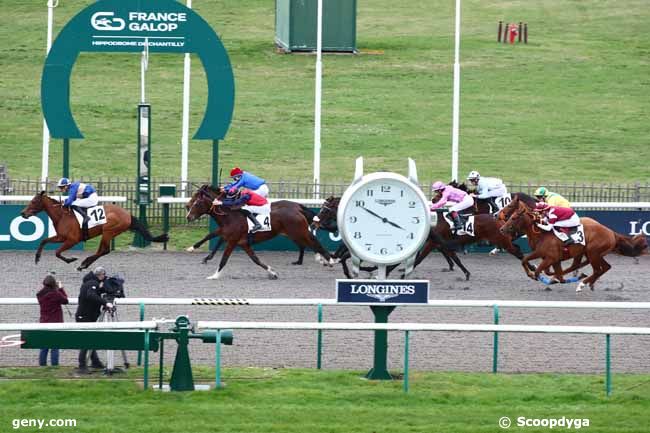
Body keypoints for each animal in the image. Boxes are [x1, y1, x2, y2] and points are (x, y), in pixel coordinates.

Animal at [20, 191, 168, 268]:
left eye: (34, 201)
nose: (23, 213)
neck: (62, 215)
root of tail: (127, 214)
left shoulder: (72, 240)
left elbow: (57, 252)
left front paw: (71, 259)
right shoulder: (61, 237)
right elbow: (44, 241)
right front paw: (37, 258)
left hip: (109, 231)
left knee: (104, 250)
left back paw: (84, 263)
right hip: (108, 233)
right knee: (102, 251)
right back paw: (85, 263)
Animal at [185, 183, 332, 278]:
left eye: (197, 202)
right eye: (193, 198)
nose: (188, 215)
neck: (230, 215)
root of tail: (297, 207)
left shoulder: (232, 241)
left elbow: (224, 259)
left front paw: (214, 275)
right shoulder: (241, 241)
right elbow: (255, 259)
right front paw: (272, 272)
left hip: (299, 232)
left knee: (313, 242)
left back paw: (328, 260)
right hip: (295, 233)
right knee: (309, 243)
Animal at [498, 199, 644, 290]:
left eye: (514, 217)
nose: (502, 229)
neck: (541, 234)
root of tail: (611, 232)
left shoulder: (550, 257)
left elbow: (539, 271)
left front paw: (537, 275)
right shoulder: (549, 257)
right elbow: (527, 261)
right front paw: (540, 274)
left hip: (593, 252)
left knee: (597, 269)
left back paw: (582, 284)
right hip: (589, 253)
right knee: (601, 267)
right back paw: (584, 281)